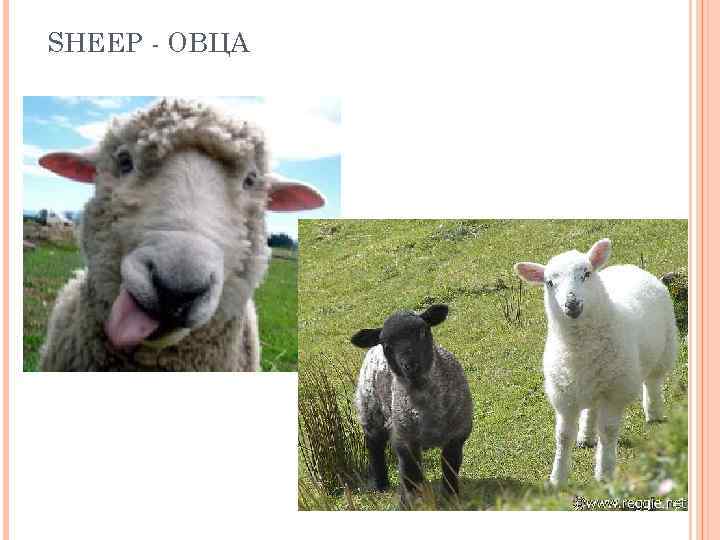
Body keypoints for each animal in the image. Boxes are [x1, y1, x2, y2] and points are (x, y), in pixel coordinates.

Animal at [350, 304, 473, 505]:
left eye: (423, 331)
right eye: (387, 345)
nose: (410, 365)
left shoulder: (456, 437)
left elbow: (450, 469)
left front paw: (451, 497)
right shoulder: (404, 441)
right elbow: (410, 476)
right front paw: (414, 503)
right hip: (370, 409)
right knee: (374, 446)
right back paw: (381, 484)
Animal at [514, 238, 677, 487]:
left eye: (586, 274)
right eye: (549, 282)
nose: (571, 304)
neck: (581, 348)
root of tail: (628, 267)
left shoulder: (614, 392)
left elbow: (608, 432)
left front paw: (605, 473)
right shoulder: (564, 396)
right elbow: (563, 437)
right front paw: (557, 478)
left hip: (664, 349)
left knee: (653, 382)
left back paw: (654, 413)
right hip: (589, 383)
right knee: (591, 408)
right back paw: (586, 436)